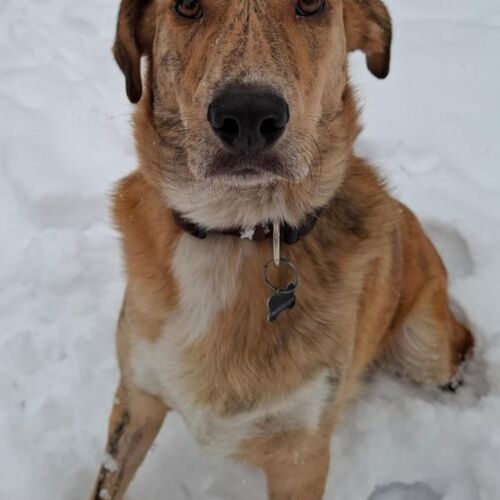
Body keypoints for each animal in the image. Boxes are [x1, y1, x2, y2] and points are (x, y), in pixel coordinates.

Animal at [90, 1, 474, 498]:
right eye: (187, 6)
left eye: (311, 5)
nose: (248, 117)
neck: (236, 232)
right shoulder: (136, 396)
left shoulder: (301, 453)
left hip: (425, 350)